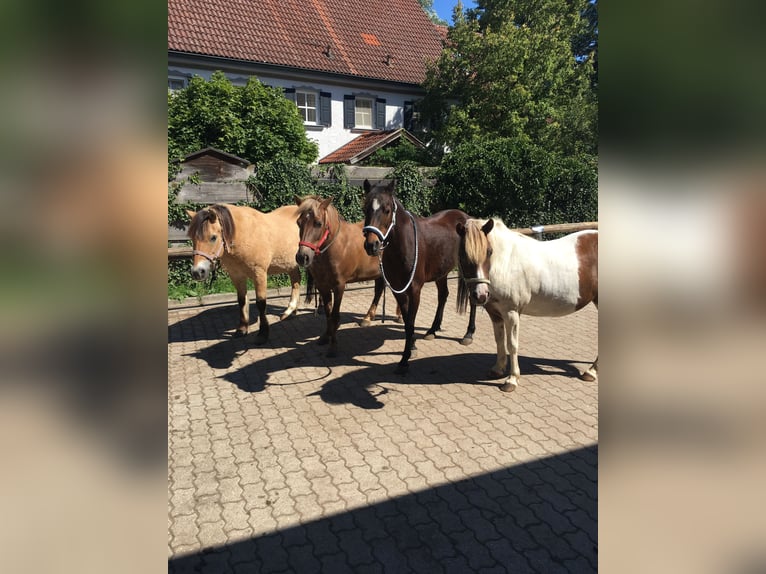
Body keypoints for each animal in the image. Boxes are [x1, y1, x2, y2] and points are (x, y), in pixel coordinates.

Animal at [186, 203, 308, 343]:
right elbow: (241, 301)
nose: (197, 272)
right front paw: (242, 329)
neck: (244, 234)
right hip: (291, 264)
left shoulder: (259, 274)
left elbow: (261, 303)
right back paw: (290, 312)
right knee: (296, 282)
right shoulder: (237, 275)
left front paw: (263, 333)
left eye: (213, 237)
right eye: (192, 238)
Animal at [294, 195, 401, 357]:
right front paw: (325, 336)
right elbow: (328, 314)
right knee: (378, 291)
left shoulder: (339, 286)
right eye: (298, 222)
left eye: (318, 223)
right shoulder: (323, 286)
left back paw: (399, 316)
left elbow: (335, 316)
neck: (335, 246)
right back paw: (368, 318)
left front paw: (333, 347)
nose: (302, 257)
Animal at [362, 179, 478, 374]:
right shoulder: (398, 290)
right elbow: (407, 320)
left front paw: (404, 360)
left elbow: (410, 323)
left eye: (387, 209)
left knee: (472, 298)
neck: (404, 243)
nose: (372, 245)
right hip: (441, 273)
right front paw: (412, 348)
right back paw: (432, 330)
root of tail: (466, 218)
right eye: (365, 209)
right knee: (443, 295)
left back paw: (468, 334)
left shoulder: (415, 290)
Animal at [456, 217, 598, 392]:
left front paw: (512, 380)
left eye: (489, 252)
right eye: (462, 255)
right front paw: (497, 370)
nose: (481, 295)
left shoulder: (511, 312)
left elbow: (512, 344)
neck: (505, 263)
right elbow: (499, 340)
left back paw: (591, 372)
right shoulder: (495, 313)